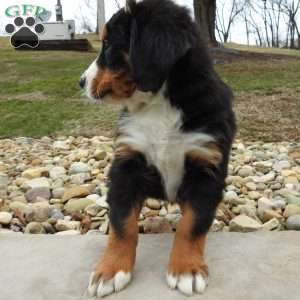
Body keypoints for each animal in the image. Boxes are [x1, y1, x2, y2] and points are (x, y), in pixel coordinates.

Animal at [79, 0, 237, 296]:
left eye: (108, 45)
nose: (80, 82)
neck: (158, 104)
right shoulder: (126, 163)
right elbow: (122, 224)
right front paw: (110, 271)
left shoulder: (206, 165)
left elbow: (192, 224)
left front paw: (187, 269)